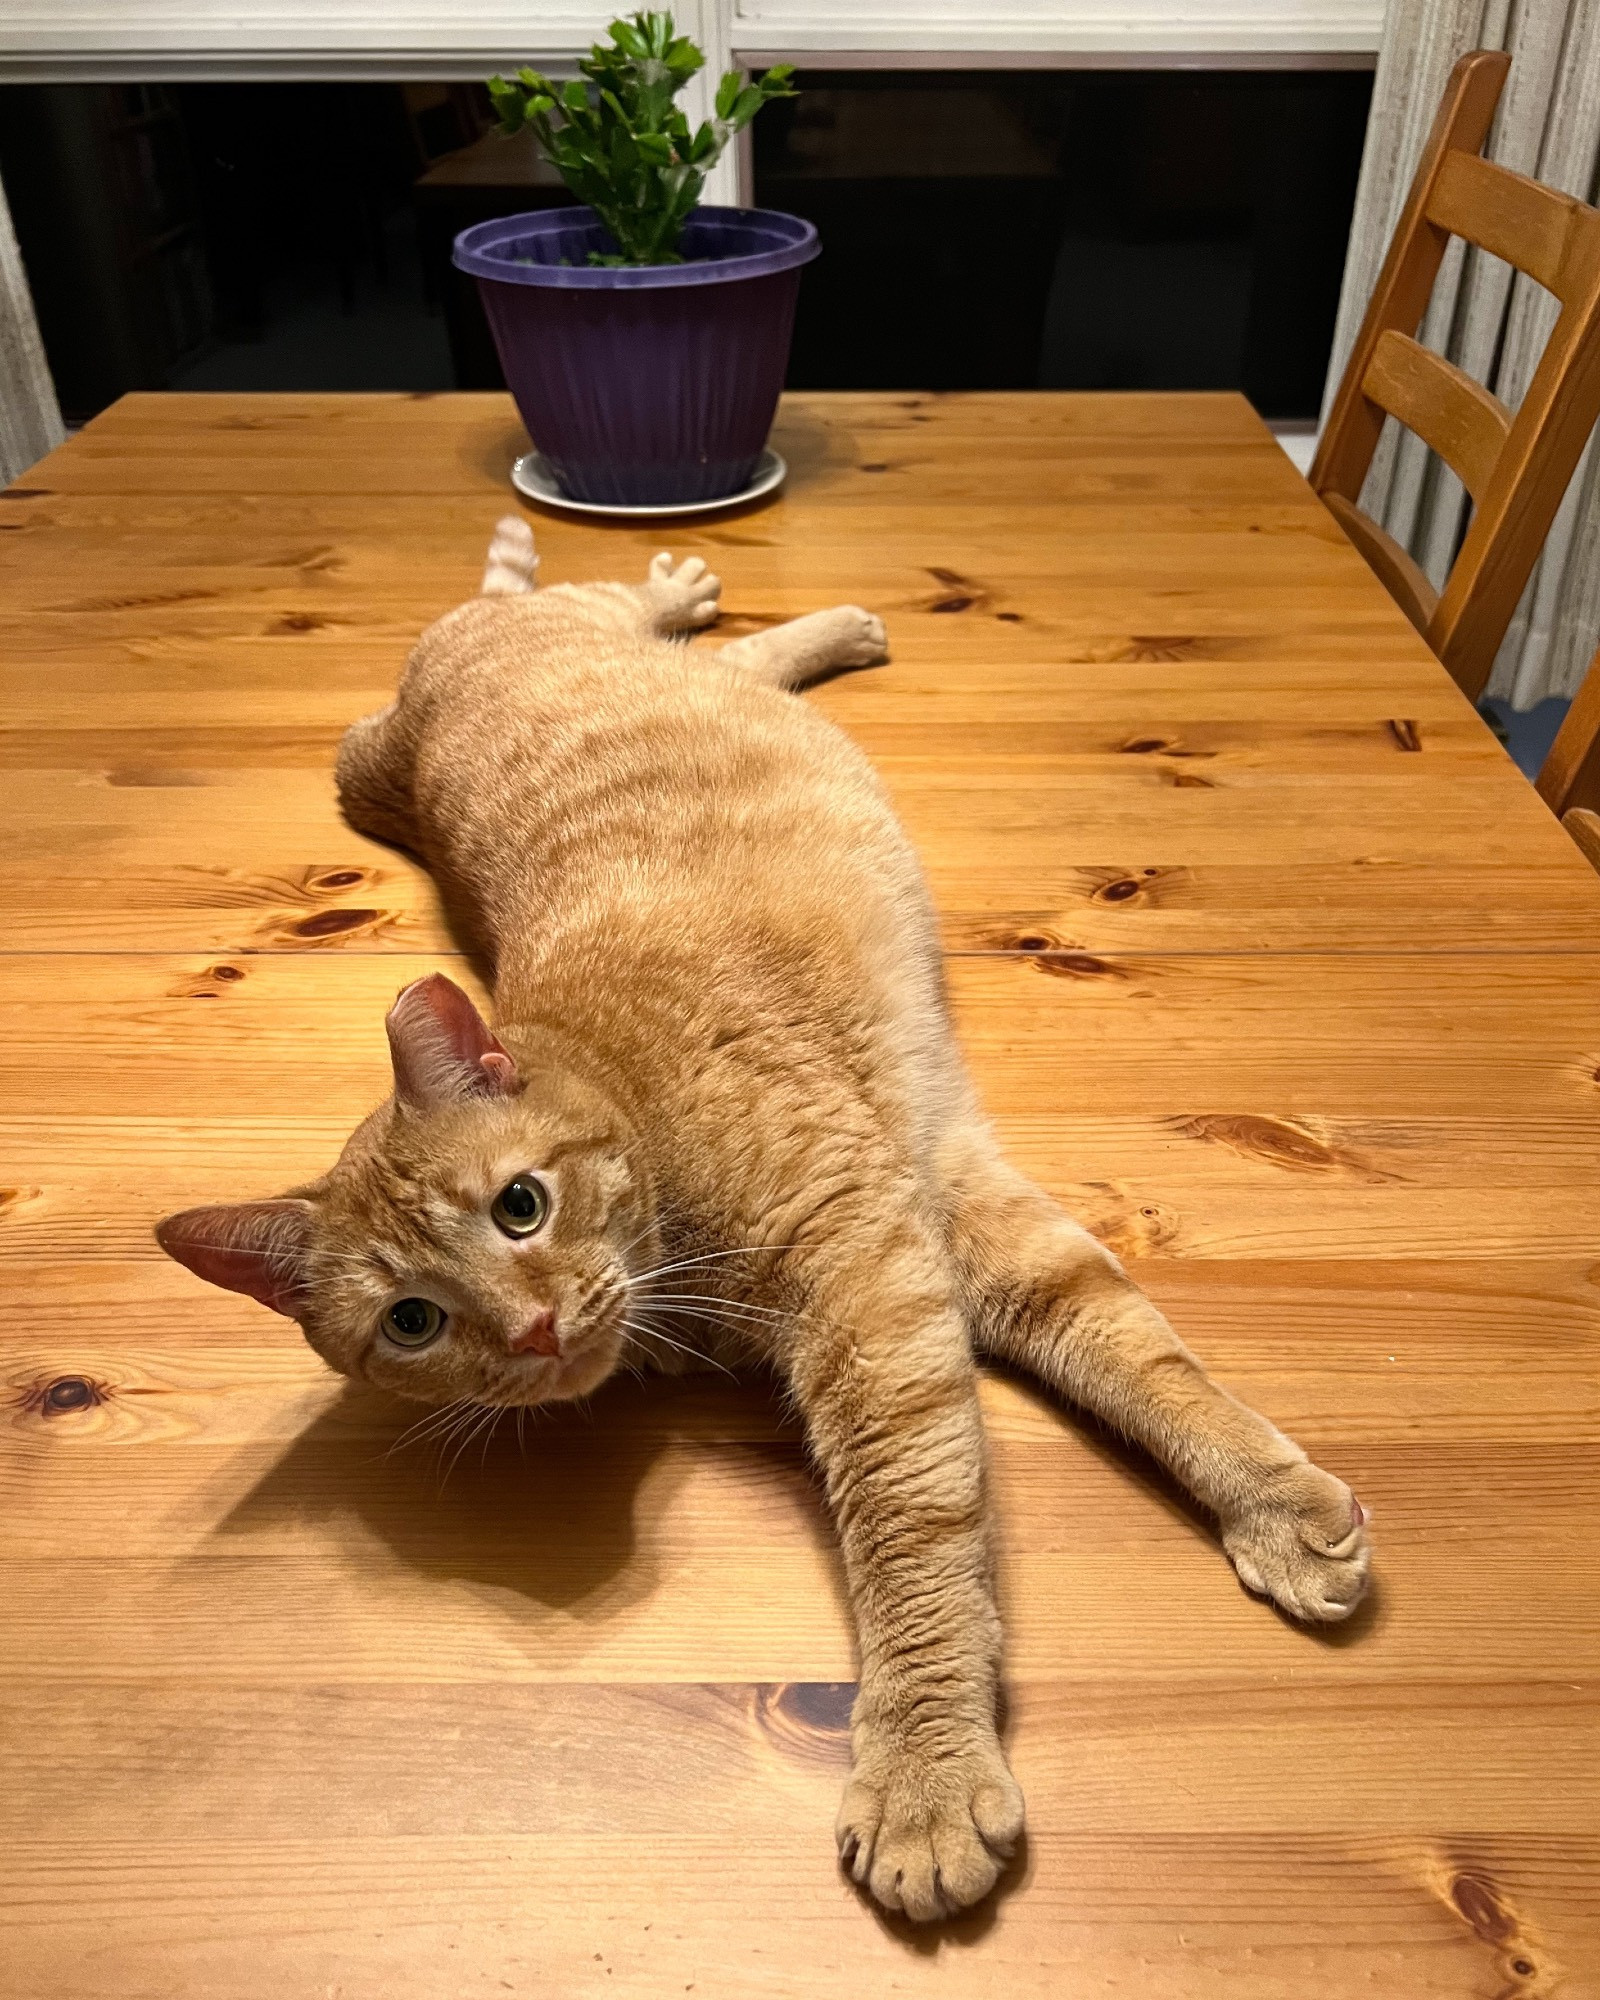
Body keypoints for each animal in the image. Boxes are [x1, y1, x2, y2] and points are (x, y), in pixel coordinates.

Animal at [156, 520, 1368, 1920]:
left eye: (521, 1204)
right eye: (413, 1322)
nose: (530, 1331)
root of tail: (433, 672)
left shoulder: (878, 1278)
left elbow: (937, 1507)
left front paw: (926, 1766)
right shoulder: (952, 1222)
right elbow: (1119, 1356)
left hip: (513, 669)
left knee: (681, 631)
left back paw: (752, 602)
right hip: (377, 756)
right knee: (720, 663)